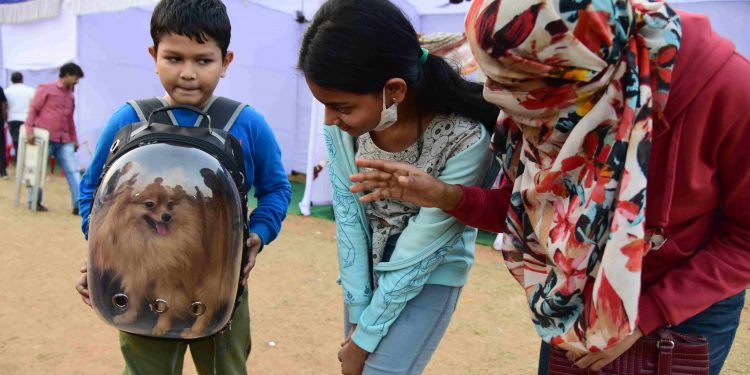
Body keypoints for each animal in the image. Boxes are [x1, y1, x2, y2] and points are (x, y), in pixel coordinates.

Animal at [89, 163, 235, 340]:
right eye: (149, 204)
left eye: (170, 205)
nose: (166, 216)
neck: (148, 240)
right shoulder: (137, 272)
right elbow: (134, 298)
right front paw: (128, 317)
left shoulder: (169, 279)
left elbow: (165, 305)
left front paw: (161, 327)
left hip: (211, 278)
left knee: (207, 308)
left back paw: (195, 330)